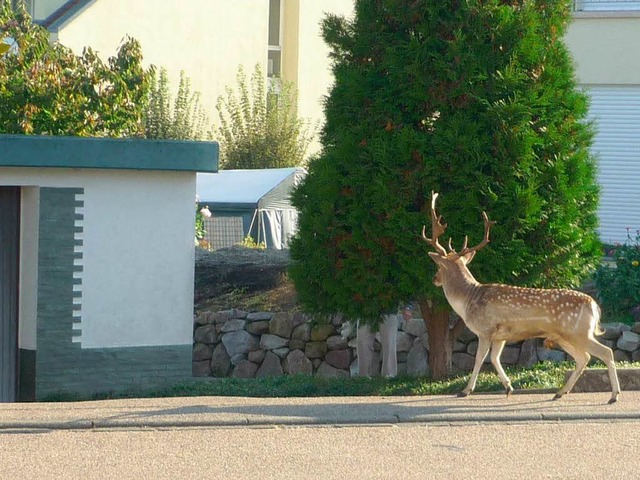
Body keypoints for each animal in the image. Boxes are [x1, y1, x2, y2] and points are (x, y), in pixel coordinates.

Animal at [422, 191, 616, 402]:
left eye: (439, 266)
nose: (434, 279)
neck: (468, 300)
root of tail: (594, 306)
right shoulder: (501, 336)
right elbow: (494, 358)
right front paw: (508, 387)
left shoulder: (485, 330)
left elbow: (479, 359)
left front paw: (466, 390)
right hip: (564, 336)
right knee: (583, 357)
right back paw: (560, 392)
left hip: (578, 332)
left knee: (606, 352)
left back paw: (614, 395)